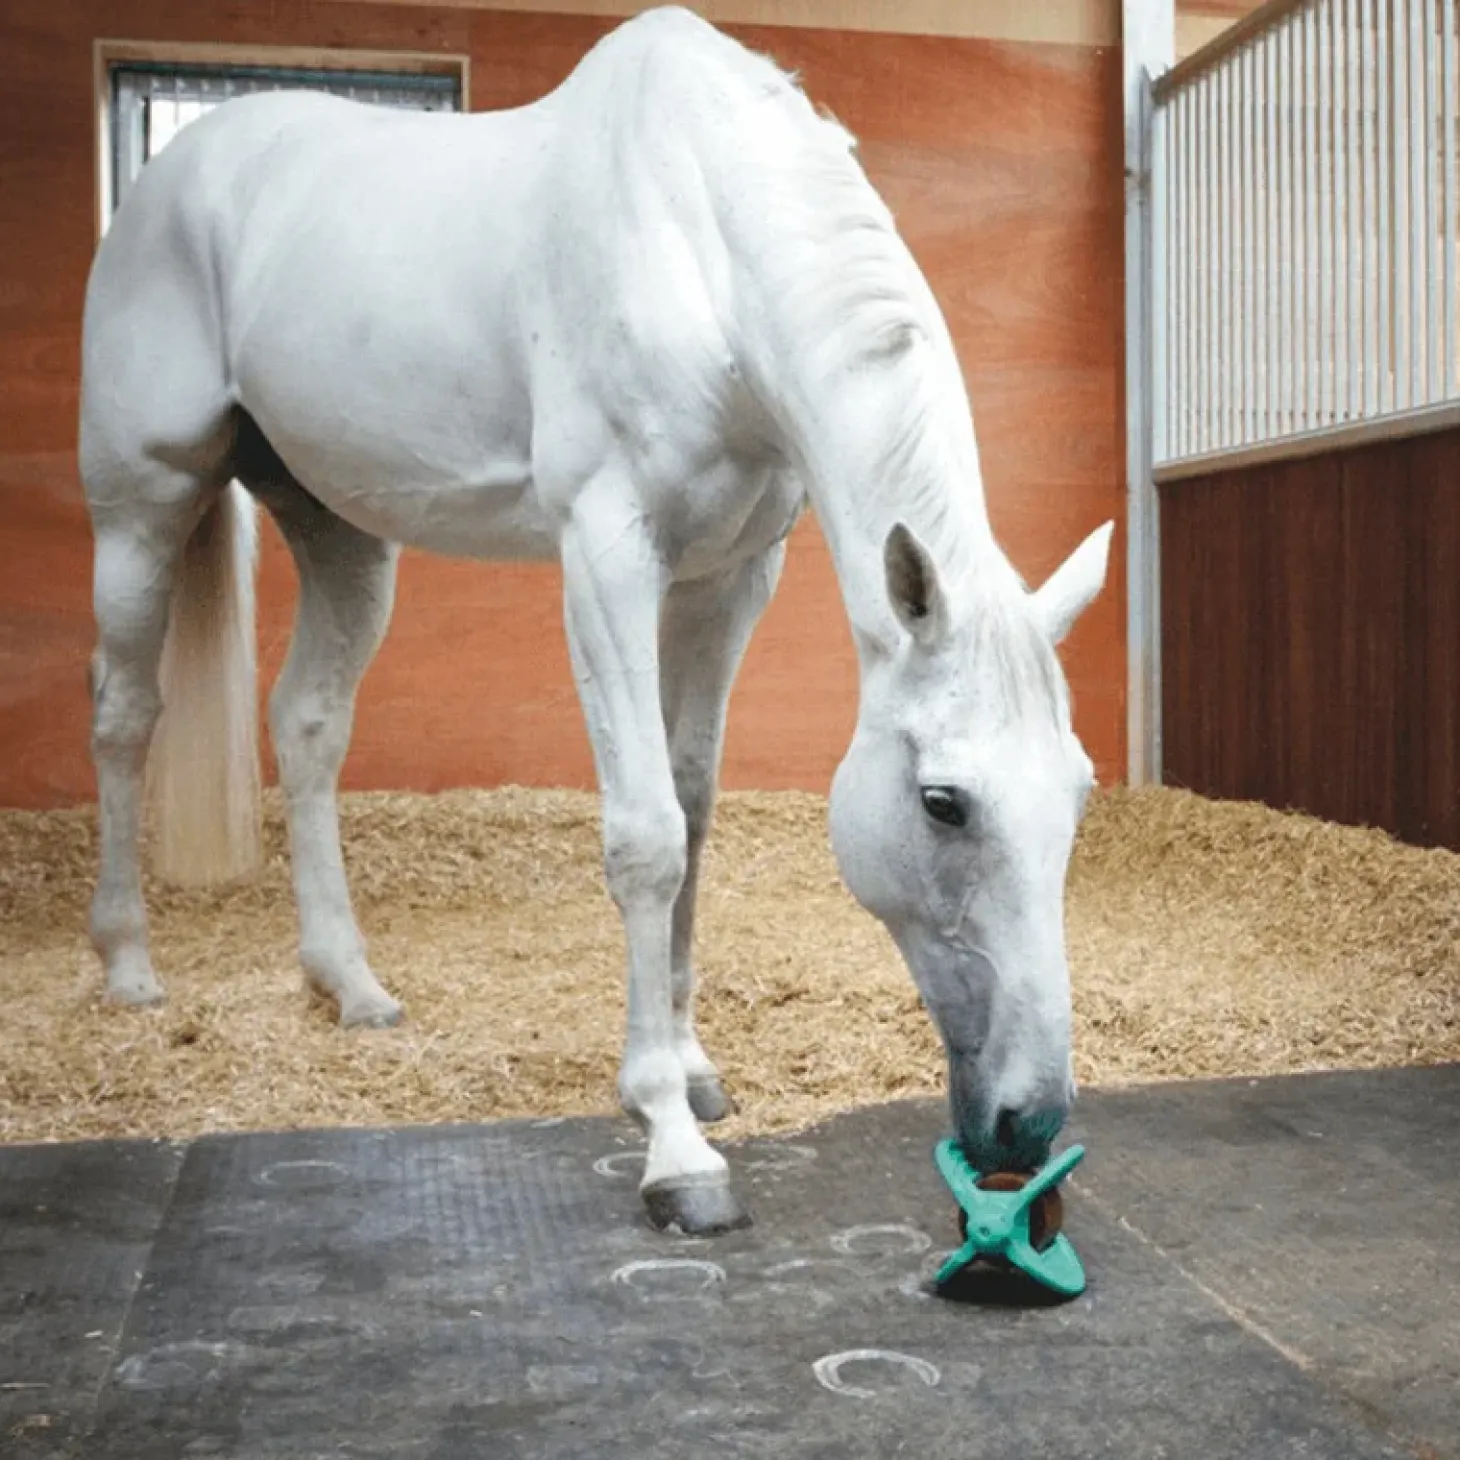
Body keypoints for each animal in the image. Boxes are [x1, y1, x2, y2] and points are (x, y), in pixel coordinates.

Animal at [79, 6, 1112, 1235]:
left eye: (1077, 795)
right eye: (941, 803)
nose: (1027, 1122)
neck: (697, 240)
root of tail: (173, 178)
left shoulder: (728, 577)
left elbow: (694, 804)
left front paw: (691, 1066)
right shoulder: (608, 553)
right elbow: (646, 834)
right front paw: (672, 1143)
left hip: (341, 534)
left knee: (308, 723)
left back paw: (350, 984)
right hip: (142, 508)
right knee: (124, 714)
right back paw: (129, 968)